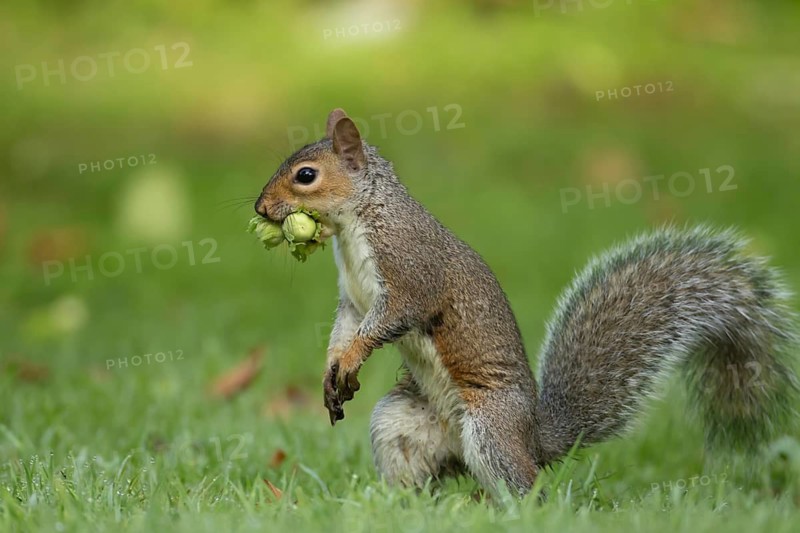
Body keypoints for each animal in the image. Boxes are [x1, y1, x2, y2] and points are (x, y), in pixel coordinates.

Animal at [254, 108, 799, 496]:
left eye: (306, 175)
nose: (260, 208)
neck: (358, 221)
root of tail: (535, 439)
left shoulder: (409, 274)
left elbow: (386, 321)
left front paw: (350, 359)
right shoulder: (352, 299)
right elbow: (345, 328)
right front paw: (333, 370)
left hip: (490, 428)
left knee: (524, 487)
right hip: (400, 423)